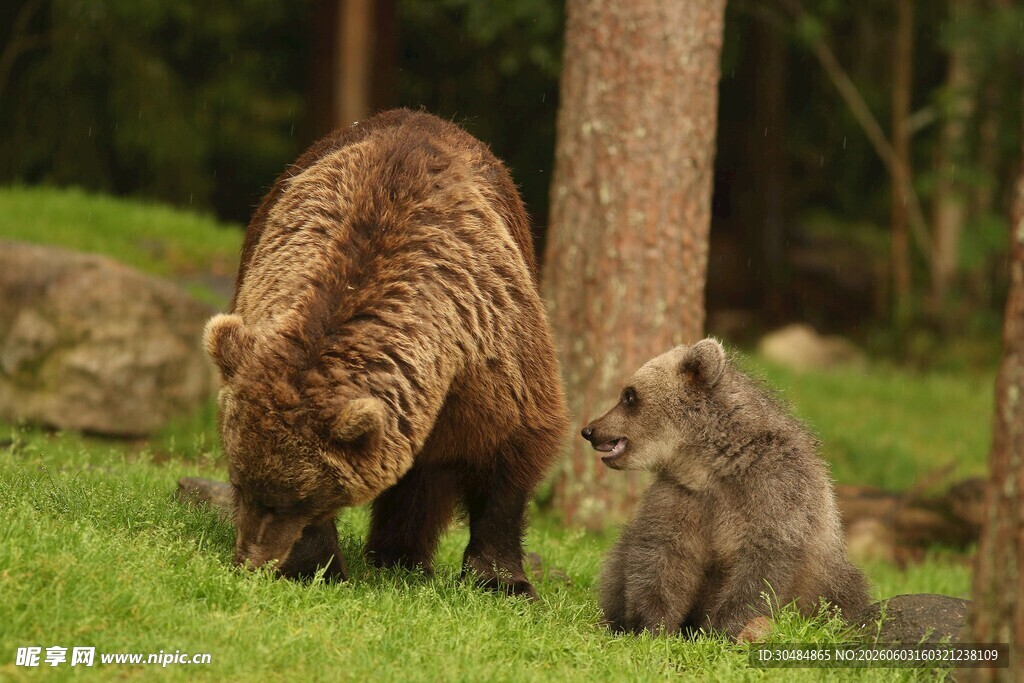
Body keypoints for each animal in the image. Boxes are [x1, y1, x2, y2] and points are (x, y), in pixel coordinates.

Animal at [204, 108, 568, 597]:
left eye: (293, 498)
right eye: (240, 483)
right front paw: (314, 566)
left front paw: (502, 580)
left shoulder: (491, 353)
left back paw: (403, 557)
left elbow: (509, 450)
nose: (251, 561)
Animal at [580, 338, 869, 638]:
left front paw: (724, 628)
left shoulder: (774, 494)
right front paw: (651, 626)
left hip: (830, 578)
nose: (589, 430)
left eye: (629, 395)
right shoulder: (680, 496)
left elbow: (760, 569)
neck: (713, 465)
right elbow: (662, 557)